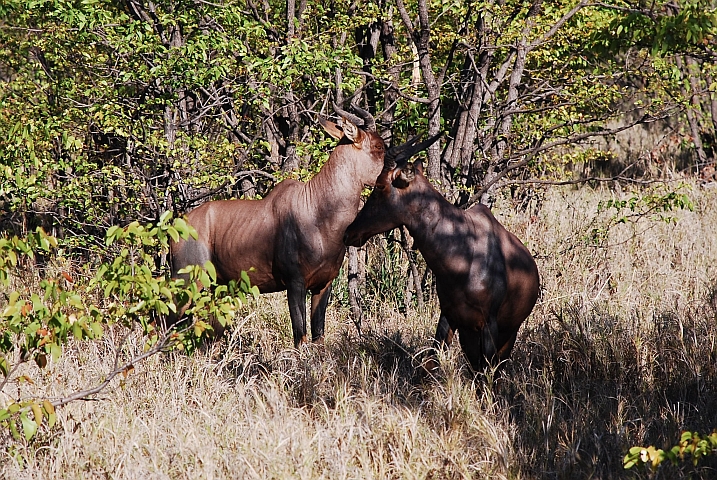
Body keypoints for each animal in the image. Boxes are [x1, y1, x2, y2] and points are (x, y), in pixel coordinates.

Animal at [170, 106, 436, 344]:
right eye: (379, 146)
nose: (403, 174)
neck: (316, 210)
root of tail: (179, 225)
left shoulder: (323, 286)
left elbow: (318, 335)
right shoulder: (294, 285)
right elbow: (301, 336)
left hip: (215, 288)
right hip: (187, 283)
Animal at [344, 156, 540, 370]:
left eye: (380, 185)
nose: (349, 233)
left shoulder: (488, 324)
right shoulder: (448, 315)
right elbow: (430, 362)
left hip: (506, 335)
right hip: (469, 336)